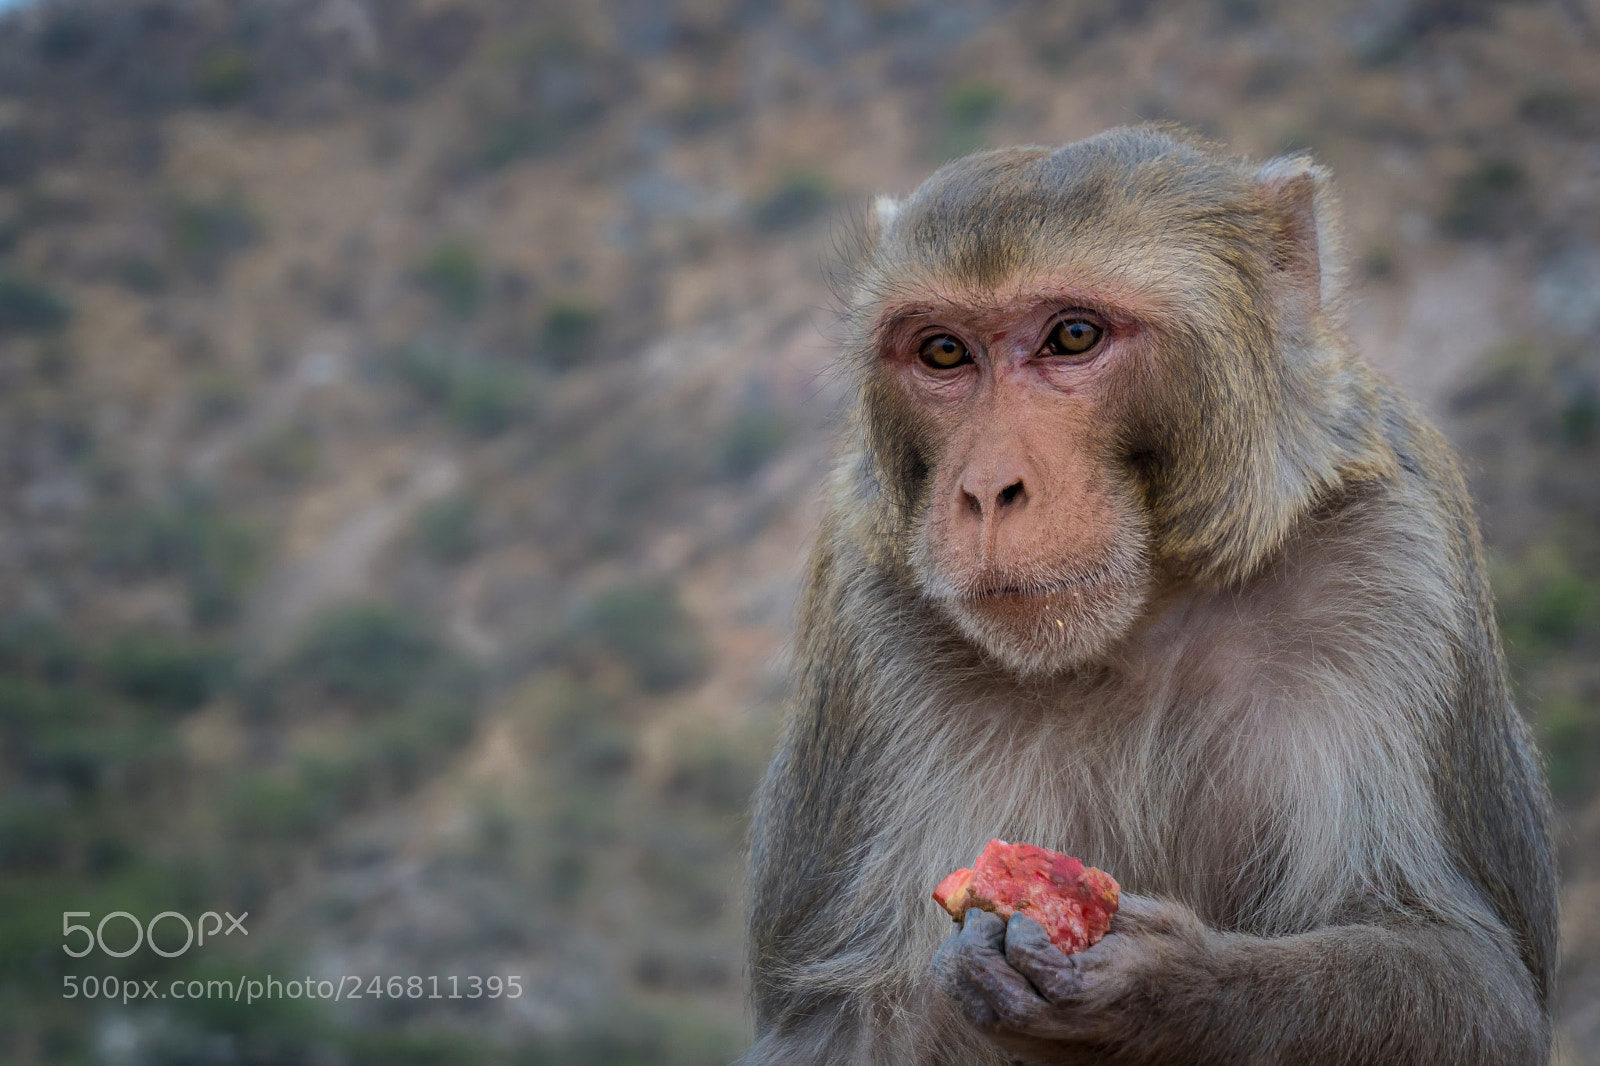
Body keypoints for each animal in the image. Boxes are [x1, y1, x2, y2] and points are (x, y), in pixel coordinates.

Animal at [740, 126, 1557, 1065]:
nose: (985, 490)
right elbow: (826, 1028)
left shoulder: (1398, 554)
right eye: (943, 351)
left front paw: (1160, 985)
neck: (1149, 612)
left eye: (1073, 336)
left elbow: (1472, 978)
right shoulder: (864, 613)